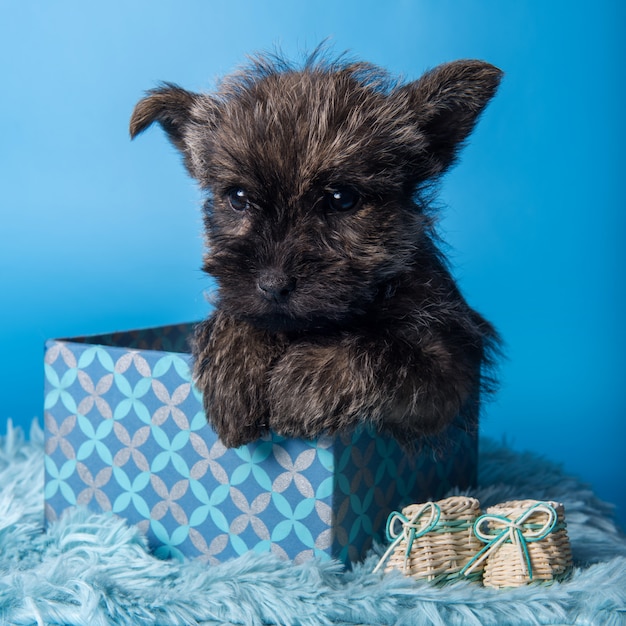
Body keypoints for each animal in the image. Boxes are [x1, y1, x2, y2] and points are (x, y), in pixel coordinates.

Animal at [130, 51, 502, 446]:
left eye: (342, 199)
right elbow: (241, 315)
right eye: (238, 198)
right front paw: (233, 371)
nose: (273, 286)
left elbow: (382, 347)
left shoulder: (450, 361)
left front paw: (300, 382)